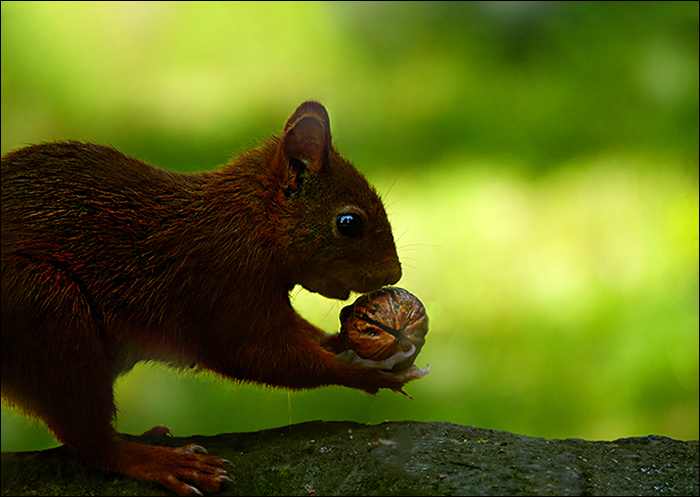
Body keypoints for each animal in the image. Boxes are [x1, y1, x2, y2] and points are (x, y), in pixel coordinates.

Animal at [1, 101, 428, 495]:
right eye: (349, 223)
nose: (394, 274)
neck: (253, 221)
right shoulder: (225, 283)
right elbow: (256, 355)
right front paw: (369, 371)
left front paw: (341, 340)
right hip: (46, 304)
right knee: (91, 444)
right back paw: (157, 460)